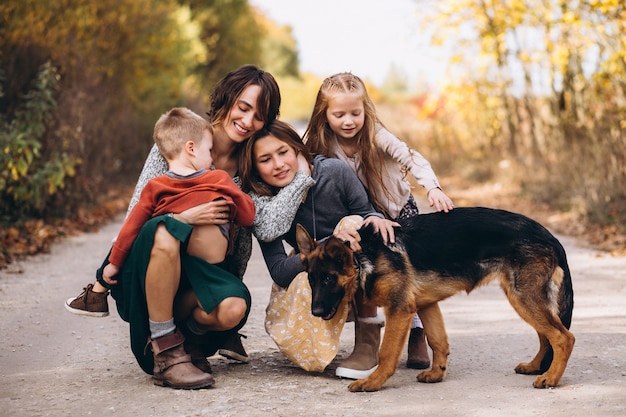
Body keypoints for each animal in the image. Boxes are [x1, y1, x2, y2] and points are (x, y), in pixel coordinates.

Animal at [294, 206, 572, 392]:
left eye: (329, 279)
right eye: (312, 280)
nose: (315, 312)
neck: (363, 257)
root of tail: (550, 236)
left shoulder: (399, 309)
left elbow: (387, 352)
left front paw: (372, 382)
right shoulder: (426, 305)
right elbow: (438, 341)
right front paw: (437, 373)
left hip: (523, 298)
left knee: (563, 337)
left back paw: (551, 378)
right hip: (524, 298)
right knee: (546, 336)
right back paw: (536, 366)